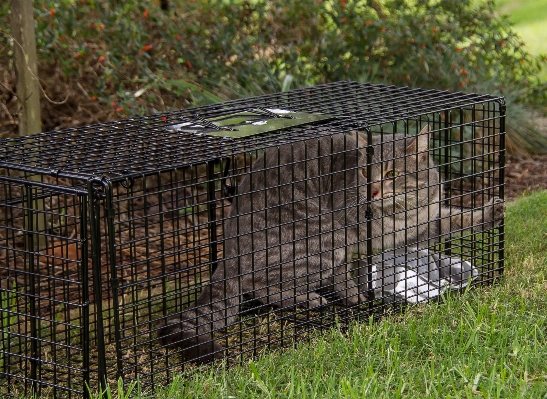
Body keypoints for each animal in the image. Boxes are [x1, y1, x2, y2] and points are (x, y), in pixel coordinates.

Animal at [157, 126, 506, 364]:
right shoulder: (345, 235)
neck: (403, 211)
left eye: (392, 173)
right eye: (365, 172)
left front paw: (490, 213)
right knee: (258, 283)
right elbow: (342, 275)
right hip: (319, 233)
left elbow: (456, 219)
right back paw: (308, 298)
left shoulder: (422, 224)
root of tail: (229, 244)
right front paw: (355, 296)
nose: (373, 191)